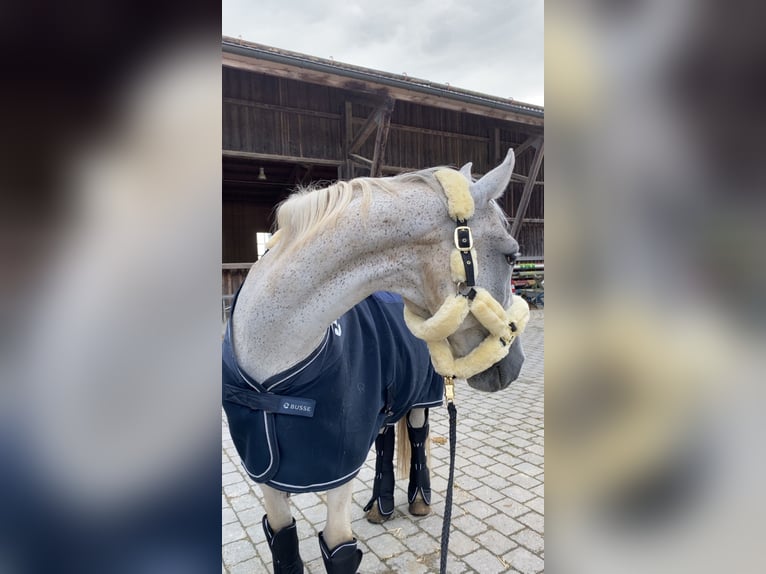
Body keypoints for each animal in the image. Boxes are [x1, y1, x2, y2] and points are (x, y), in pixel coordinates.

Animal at [222, 150, 530, 573]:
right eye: (510, 254)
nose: (514, 365)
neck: (274, 356)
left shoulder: (339, 468)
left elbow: (339, 550)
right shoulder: (266, 475)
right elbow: (284, 544)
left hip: (420, 397)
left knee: (417, 436)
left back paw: (418, 499)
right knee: (385, 439)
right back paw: (380, 505)